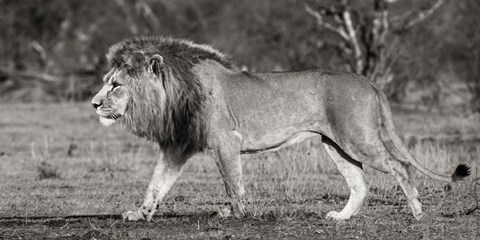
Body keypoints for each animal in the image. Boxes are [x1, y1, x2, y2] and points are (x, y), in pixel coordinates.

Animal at [92, 36, 470, 222]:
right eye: (107, 82)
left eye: (116, 85)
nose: (94, 104)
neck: (173, 95)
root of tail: (368, 80)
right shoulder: (178, 146)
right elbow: (156, 185)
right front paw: (139, 214)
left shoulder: (226, 142)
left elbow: (233, 184)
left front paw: (236, 214)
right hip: (336, 144)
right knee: (360, 183)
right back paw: (341, 218)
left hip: (358, 138)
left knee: (401, 166)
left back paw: (417, 213)